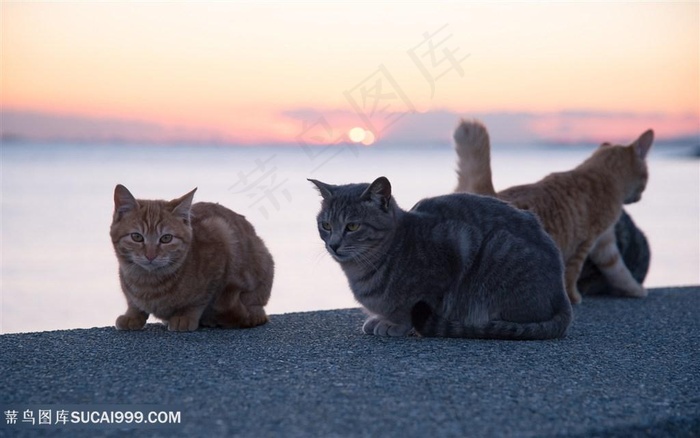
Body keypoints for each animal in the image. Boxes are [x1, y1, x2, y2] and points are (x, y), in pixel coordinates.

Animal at [109, 185, 274, 332]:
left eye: (166, 238)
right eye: (136, 237)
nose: (151, 255)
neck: (147, 282)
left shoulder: (220, 237)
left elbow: (198, 300)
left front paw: (185, 316)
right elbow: (132, 301)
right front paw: (133, 314)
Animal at [308, 177, 572, 338]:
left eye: (352, 226)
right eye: (326, 225)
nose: (333, 244)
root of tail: (561, 293)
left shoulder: (450, 253)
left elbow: (411, 306)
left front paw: (395, 324)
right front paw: (380, 318)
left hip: (499, 248)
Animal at [456, 120, 652, 304]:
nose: (641, 197)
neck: (601, 174)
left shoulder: (605, 243)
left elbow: (619, 270)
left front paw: (634, 289)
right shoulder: (585, 244)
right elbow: (572, 275)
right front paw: (573, 297)